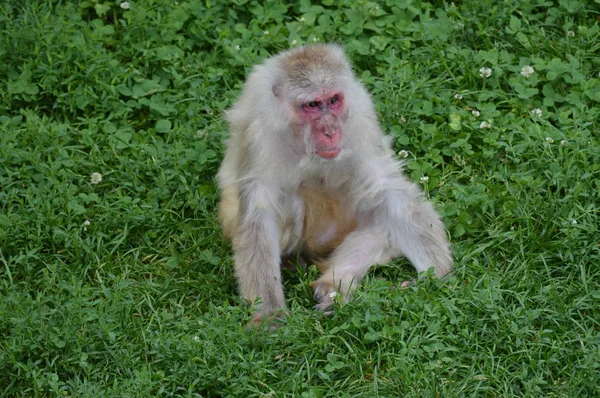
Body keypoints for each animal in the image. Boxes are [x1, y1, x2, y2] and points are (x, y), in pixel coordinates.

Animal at [218, 45, 452, 328]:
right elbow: (259, 213)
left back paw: (334, 284)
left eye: (333, 100)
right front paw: (269, 313)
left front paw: (434, 276)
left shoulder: (360, 118)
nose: (330, 130)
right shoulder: (259, 135)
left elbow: (387, 190)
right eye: (311, 105)